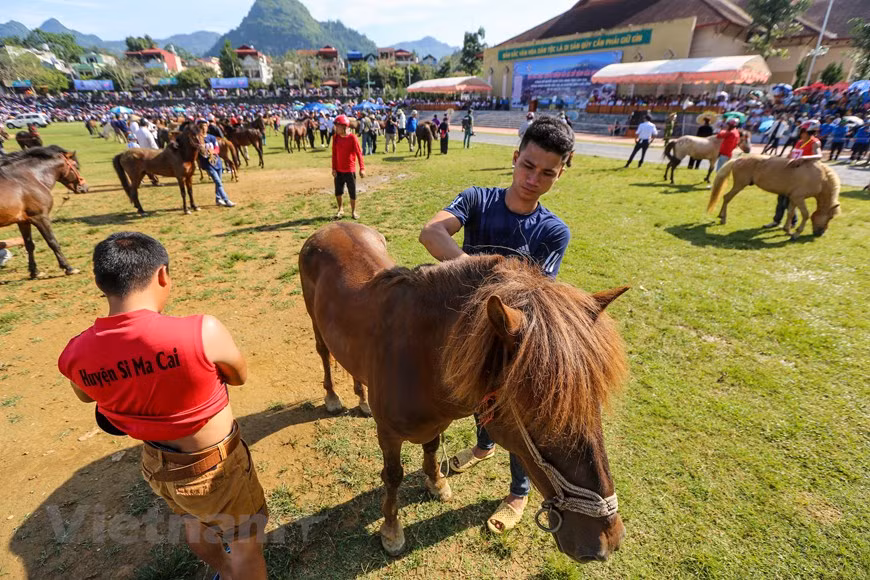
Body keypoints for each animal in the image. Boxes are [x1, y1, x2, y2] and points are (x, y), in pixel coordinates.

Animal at [0, 146, 89, 278]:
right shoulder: (40, 217)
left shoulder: (23, 221)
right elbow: (52, 242)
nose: (85, 188)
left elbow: (29, 245)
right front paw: (68, 268)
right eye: (76, 166)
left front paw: (35, 272)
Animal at [299, 222, 628, 561]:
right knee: (324, 353)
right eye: (542, 411)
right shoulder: (388, 434)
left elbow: (431, 450)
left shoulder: (435, 423)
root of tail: (330, 227)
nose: (608, 539)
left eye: (594, 402)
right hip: (316, 324)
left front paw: (436, 484)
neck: (418, 357)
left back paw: (362, 400)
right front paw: (391, 530)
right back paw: (333, 398)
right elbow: (392, 476)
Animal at [708, 154, 841, 239]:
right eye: (830, 217)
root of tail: (738, 159)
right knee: (727, 197)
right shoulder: (799, 198)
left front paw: (787, 230)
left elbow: (790, 213)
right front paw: (796, 233)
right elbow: (806, 214)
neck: (820, 177)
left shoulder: (793, 198)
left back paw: (721, 216)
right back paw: (723, 218)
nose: (821, 233)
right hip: (739, 185)